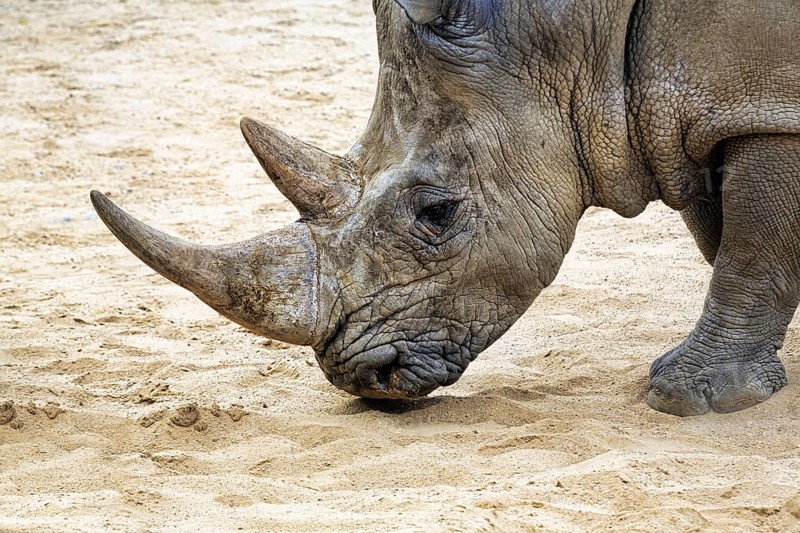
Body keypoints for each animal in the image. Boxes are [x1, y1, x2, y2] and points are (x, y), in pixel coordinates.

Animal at [91, 0, 800, 416]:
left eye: (436, 214)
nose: (364, 380)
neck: (580, 33)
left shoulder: (760, 106)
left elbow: (750, 249)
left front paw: (692, 401)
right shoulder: (695, 113)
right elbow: (725, 236)